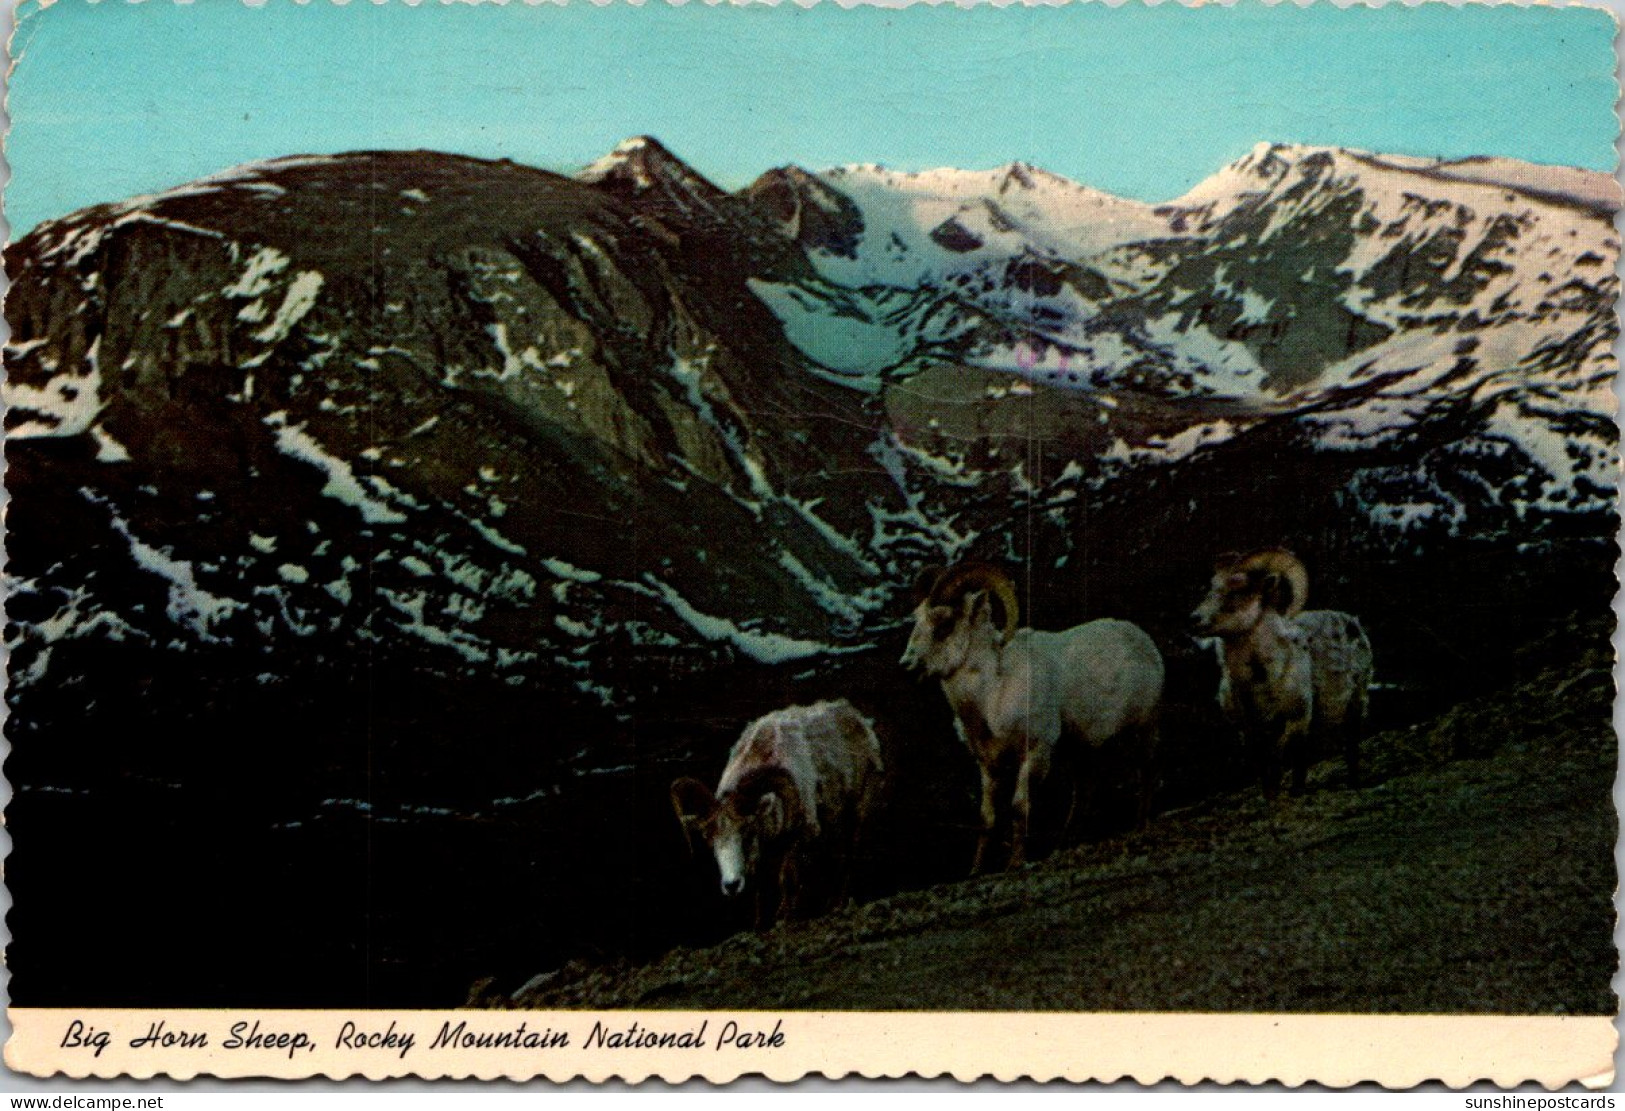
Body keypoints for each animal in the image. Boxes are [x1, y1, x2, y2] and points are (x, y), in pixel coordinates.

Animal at [666, 701, 884, 929]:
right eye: (709, 837)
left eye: (746, 831)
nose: (731, 885)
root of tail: (856, 717)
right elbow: (760, 887)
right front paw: (760, 924)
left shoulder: (797, 840)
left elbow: (787, 879)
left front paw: (785, 918)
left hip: (859, 810)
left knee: (849, 856)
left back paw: (838, 903)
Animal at [903, 568, 1170, 870]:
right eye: (917, 618)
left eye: (944, 623)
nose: (906, 664)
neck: (991, 695)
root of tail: (1144, 641)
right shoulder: (988, 765)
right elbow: (987, 818)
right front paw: (976, 870)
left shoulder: (1035, 751)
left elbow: (1019, 807)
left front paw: (1016, 863)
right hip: (1081, 752)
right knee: (1085, 792)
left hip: (1143, 729)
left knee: (1146, 772)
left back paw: (1139, 826)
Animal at [1196, 549, 1371, 799]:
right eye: (1212, 585)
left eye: (1239, 587)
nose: (1194, 618)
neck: (1257, 682)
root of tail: (1352, 621)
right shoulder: (1249, 728)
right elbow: (1262, 761)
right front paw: (1270, 795)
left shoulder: (1295, 719)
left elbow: (1279, 756)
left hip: (1356, 702)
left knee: (1350, 744)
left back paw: (1351, 782)